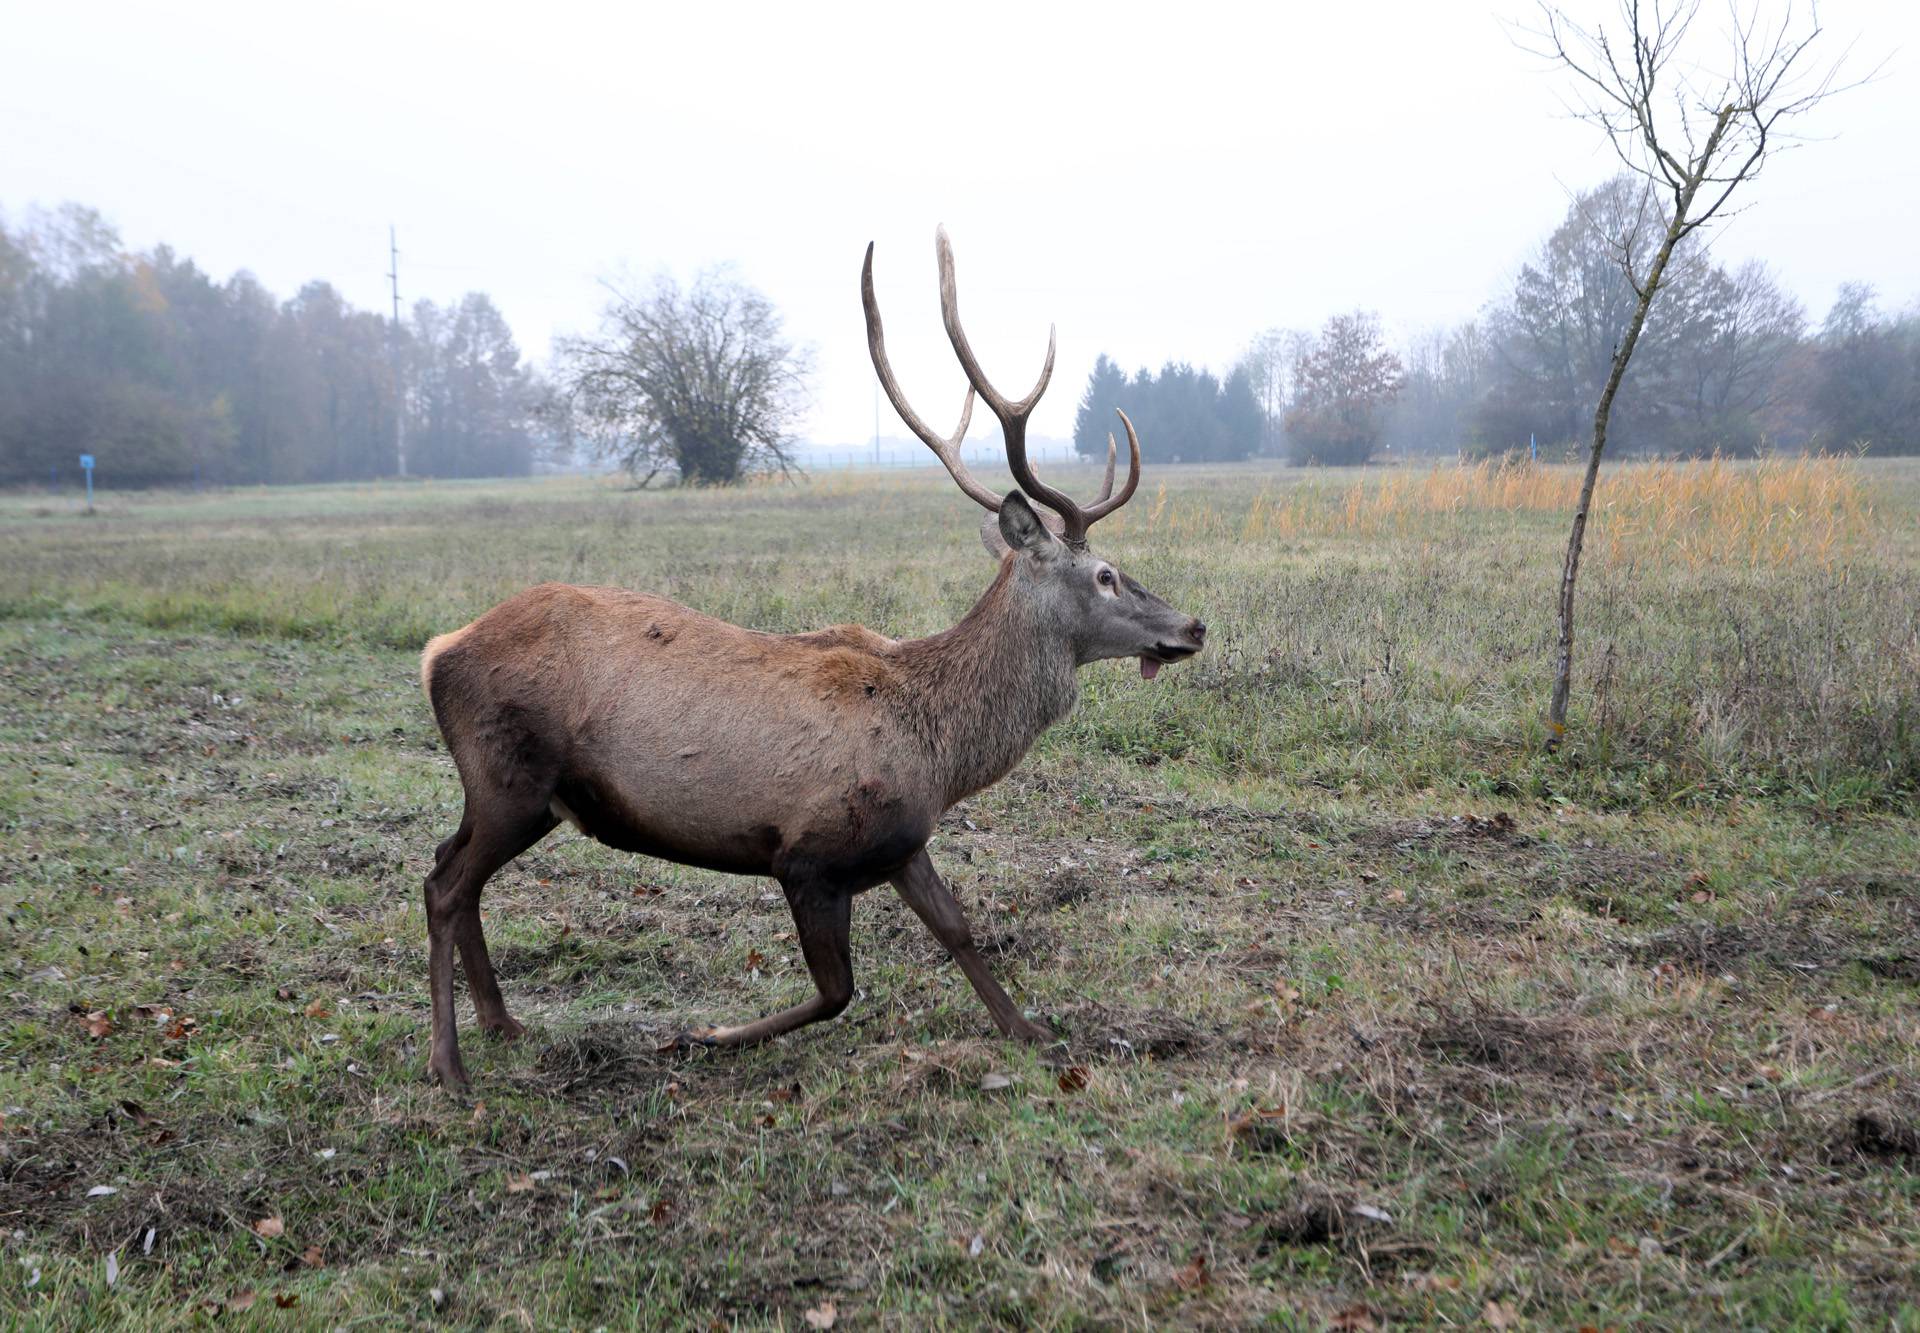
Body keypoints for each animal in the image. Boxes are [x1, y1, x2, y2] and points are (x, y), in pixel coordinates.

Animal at [416, 229, 1198, 1083]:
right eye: (1106, 574)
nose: (1192, 625)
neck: (939, 746)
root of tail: (437, 651)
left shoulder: (902, 841)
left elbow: (957, 929)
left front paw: (1030, 1033)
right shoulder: (809, 853)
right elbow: (836, 990)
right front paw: (701, 1034)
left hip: (512, 791)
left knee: (444, 866)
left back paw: (503, 1023)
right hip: (509, 775)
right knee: (445, 885)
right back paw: (451, 1064)